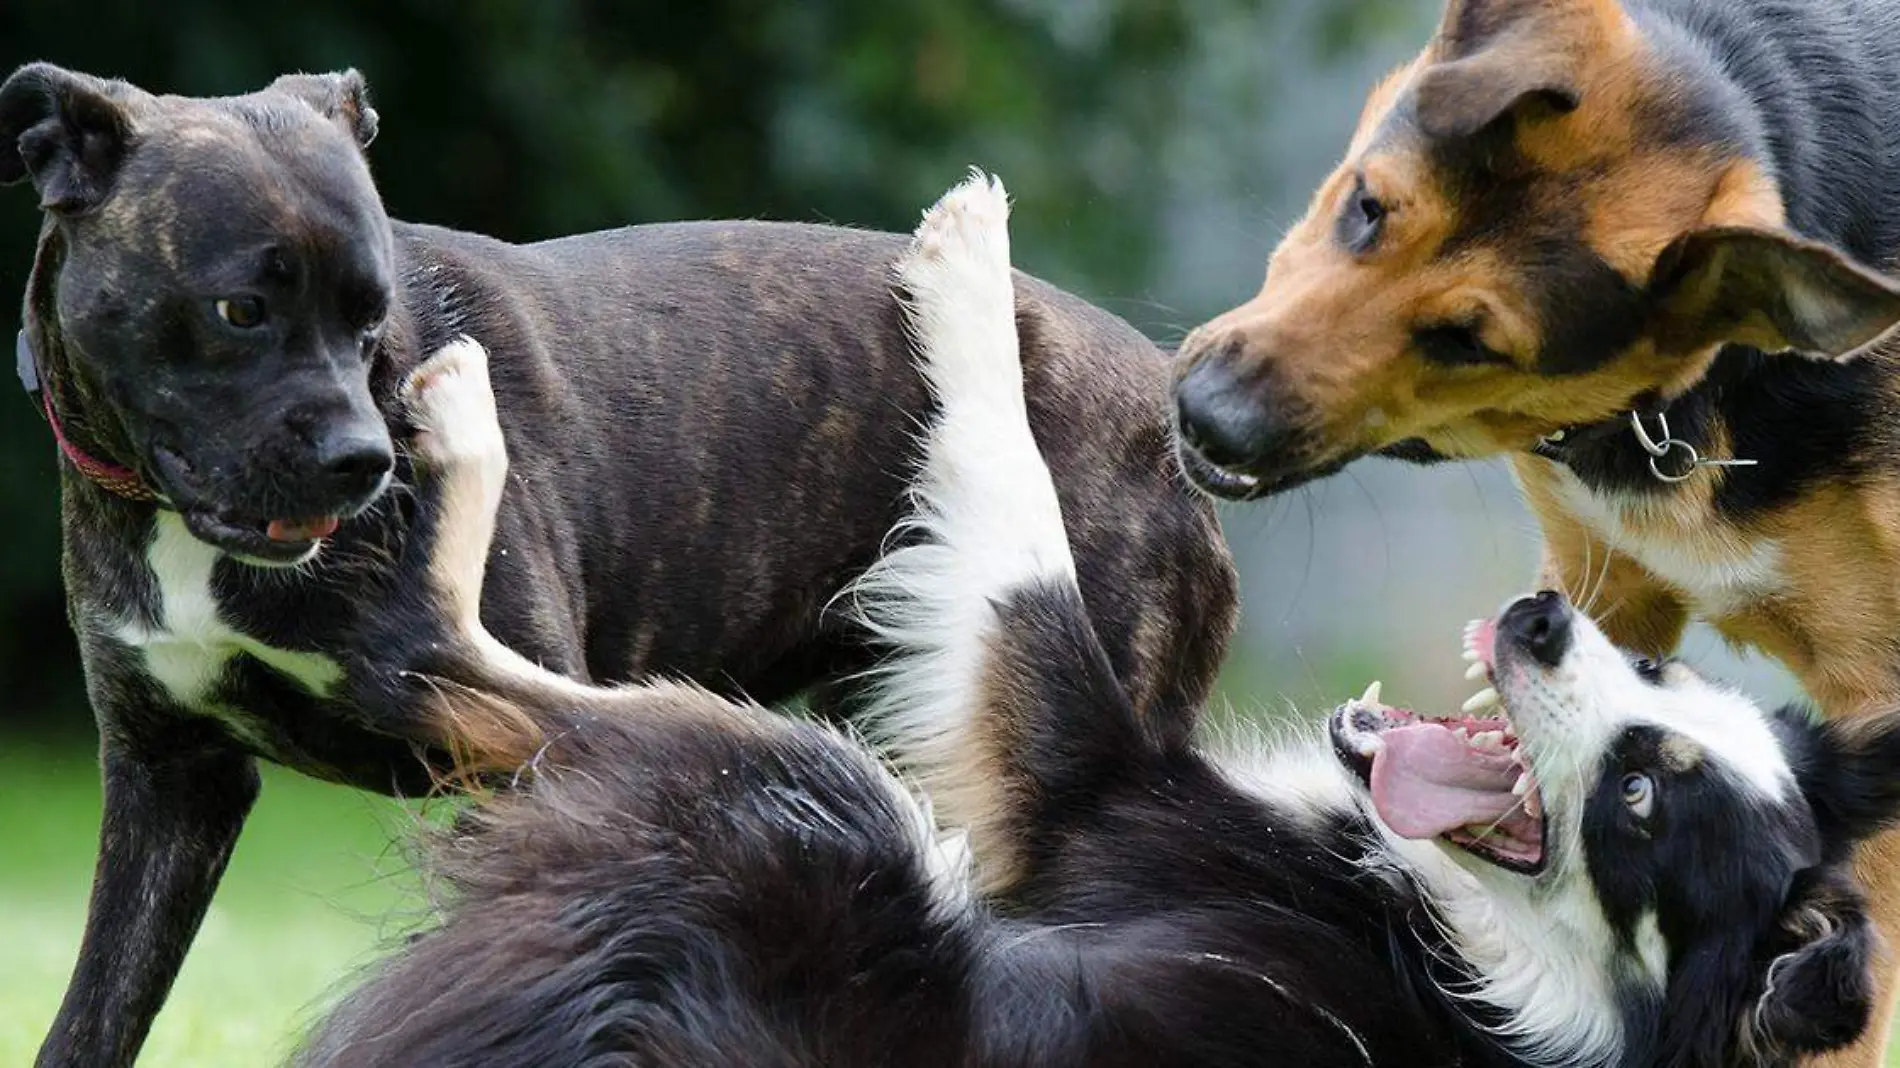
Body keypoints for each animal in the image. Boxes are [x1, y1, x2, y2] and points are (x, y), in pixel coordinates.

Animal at [0, 64, 1231, 1064]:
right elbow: (99, 1010)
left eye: (372, 315)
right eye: (240, 310)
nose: (364, 460)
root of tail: (1165, 407)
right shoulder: (168, 780)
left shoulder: (508, 770)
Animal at [292, 176, 1900, 1064]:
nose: (1544, 618)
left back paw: (455, 423)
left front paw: (969, 264)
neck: (1487, 962)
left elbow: (1017, 534)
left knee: (450, 664)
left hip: (814, 791)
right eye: (1656, 670)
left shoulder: (1083, 786)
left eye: (1638, 801)